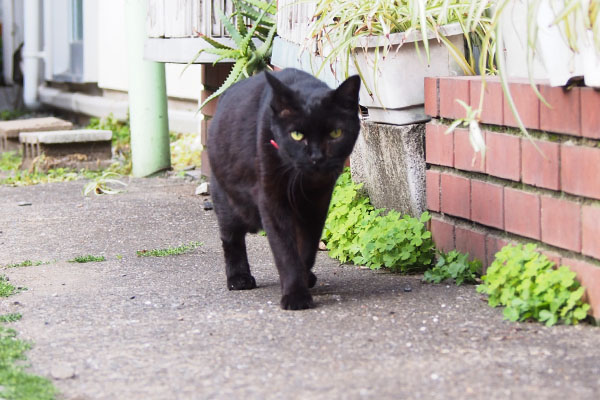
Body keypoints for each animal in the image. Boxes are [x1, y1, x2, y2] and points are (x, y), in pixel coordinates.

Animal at [209, 68, 358, 310]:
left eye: (336, 133)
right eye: (297, 135)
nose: (316, 157)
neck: (303, 182)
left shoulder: (318, 204)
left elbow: (307, 247)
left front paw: (303, 278)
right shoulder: (272, 200)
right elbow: (285, 250)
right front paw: (296, 296)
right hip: (227, 201)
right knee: (231, 238)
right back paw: (238, 278)